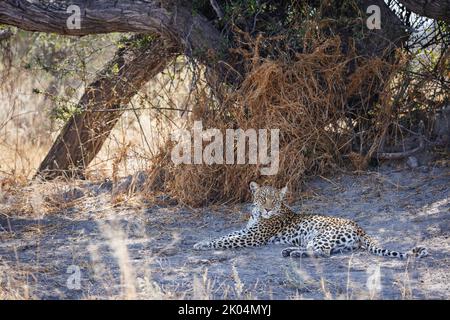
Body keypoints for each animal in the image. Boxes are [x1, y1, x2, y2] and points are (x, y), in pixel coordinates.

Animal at [192, 181, 428, 258]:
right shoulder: (247, 231)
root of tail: (358, 226)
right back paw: (289, 251)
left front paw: (201, 245)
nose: (267, 209)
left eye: (274, 201)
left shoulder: (253, 237)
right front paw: (201, 241)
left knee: (322, 253)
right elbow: (225, 235)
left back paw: (294, 253)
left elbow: (225, 240)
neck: (257, 214)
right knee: (323, 251)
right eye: (262, 198)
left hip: (322, 235)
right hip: (329, 241)